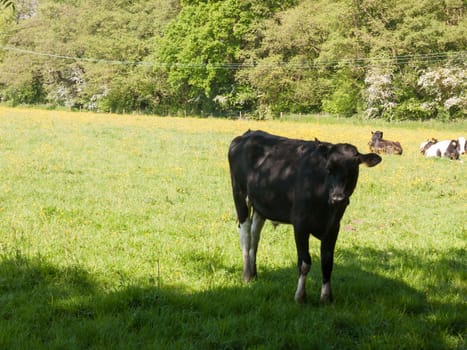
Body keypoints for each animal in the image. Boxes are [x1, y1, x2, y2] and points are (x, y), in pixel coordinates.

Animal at [229, 131, 382, 304]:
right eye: (329, 169)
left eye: (353, 170)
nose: (338, 198)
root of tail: (248, 134)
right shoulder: (300, 224)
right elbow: (304, 262)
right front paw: (300, 296)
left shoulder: (333, 227)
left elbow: (327, 262)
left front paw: (326, 297)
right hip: (239, 195)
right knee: (245, 233)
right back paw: (247, 274)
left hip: (261, 204)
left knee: (255, 234)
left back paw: (254, 273)